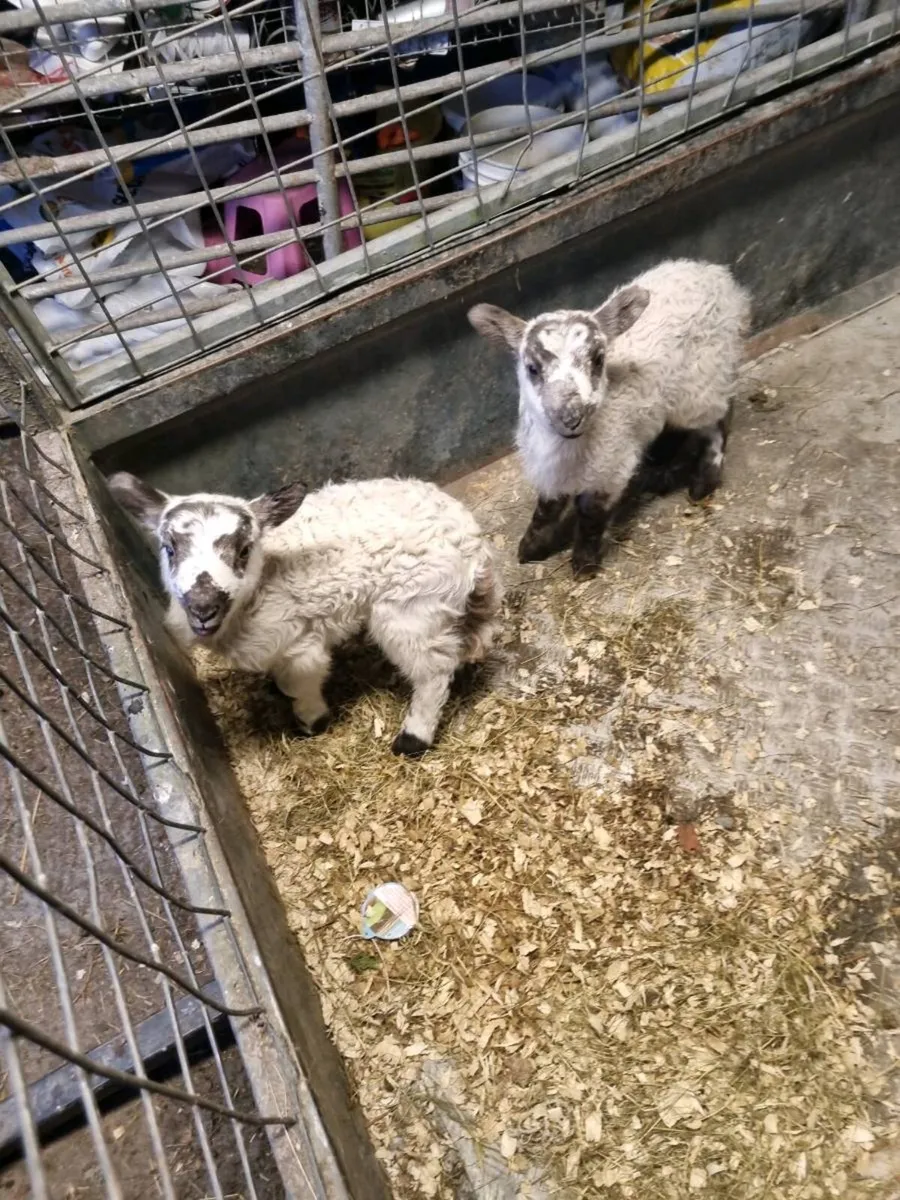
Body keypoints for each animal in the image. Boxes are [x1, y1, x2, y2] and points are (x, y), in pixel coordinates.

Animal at [108, 472, 502, 758]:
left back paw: (413, 739)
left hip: (410, 608)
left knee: (432, 672)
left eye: (244, 550)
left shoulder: (299, 642)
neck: (263, 583)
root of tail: (472, 543)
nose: (203, 606)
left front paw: (311, 724)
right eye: (169, 549)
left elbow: (301, 684)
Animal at [467, 258, 751, 577]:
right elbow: (546, 508)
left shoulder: (610, 465)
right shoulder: (551, 468)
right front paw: (531, 547)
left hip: (704, 378)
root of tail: (713, 273)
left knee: (718, 416)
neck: (572, 448)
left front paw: (584, 563)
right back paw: (662, 469)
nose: (571, 417)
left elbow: (591, 513)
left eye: (598, 359)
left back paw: (704, 481)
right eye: (532, 368)